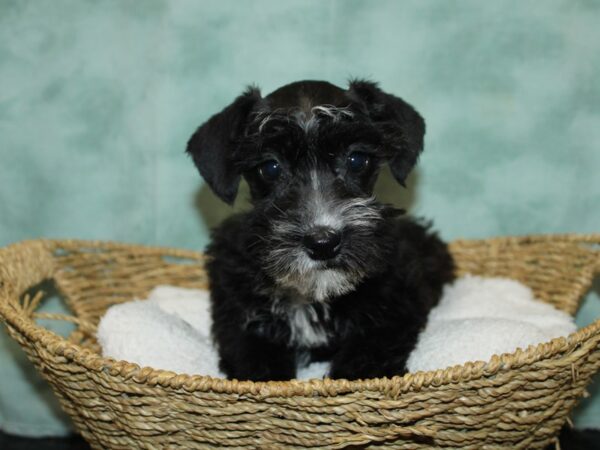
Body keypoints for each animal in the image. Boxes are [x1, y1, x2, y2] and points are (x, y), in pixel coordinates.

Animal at [185, 80, 452, 380]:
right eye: (270, 167)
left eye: (357, 159)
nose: (323, 243)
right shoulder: (240, 317)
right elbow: (257, 365)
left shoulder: (393, 310)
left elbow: (366, 357)